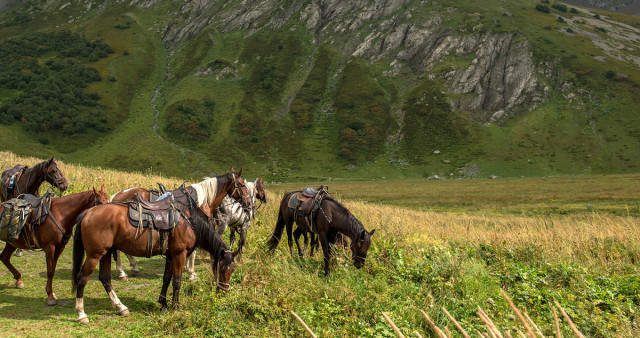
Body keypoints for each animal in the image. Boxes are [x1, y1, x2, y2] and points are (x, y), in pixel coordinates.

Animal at [72, 185, 238, 324]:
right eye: (222, 269)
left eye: (233, 269)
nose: (223, 292)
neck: (189, 223)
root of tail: (88, 212)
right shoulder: (179, 254)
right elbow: (177, 281)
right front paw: (175, 306)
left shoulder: (170, 256)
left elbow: (166, 279)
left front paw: (163, 303)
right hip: (94, 255)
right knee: (82, 278)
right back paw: (81, 314)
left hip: (105, 253)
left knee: (105, 278)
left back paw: (121, 307)